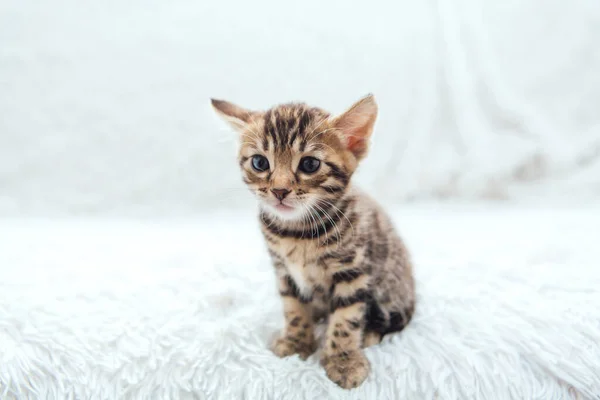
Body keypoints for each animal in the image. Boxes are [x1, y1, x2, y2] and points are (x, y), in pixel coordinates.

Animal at [213, 95, 414, 390]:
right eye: (260, 163)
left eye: (309, 165)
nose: (279, 190)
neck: (298, 232)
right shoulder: (284, 271)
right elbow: (294, 309)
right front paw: (296, 342)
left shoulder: (353, 270)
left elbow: (346, 319)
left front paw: (344, 360)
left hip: (392, 288)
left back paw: (368, 334)